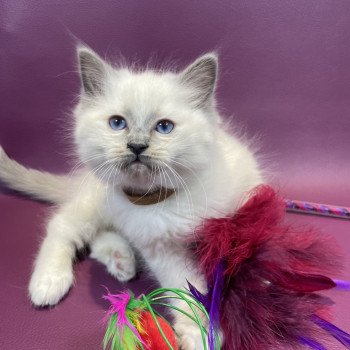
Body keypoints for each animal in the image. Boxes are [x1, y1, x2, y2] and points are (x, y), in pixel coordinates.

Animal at [0, 47, 262, 350]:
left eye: (164, 127)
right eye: (117, 123)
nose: (137, 146)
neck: (164, 199)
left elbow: (254, 253)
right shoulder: (163, 250)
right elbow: (187, 289)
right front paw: (200, 331)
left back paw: (122, 262)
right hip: (94, 205)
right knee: (62, 228)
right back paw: (49, 283)